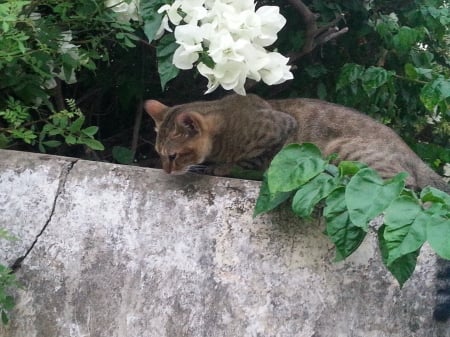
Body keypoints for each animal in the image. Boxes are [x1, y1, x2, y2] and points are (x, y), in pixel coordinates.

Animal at [145, 92, 450, 320]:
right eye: (159, 154)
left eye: (174, 155)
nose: (166, 170)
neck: (226, 122)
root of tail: (414, 156)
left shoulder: (278, 131)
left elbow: (247, 160)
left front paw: (219, 167)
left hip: (345, 153)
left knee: (402, 188)